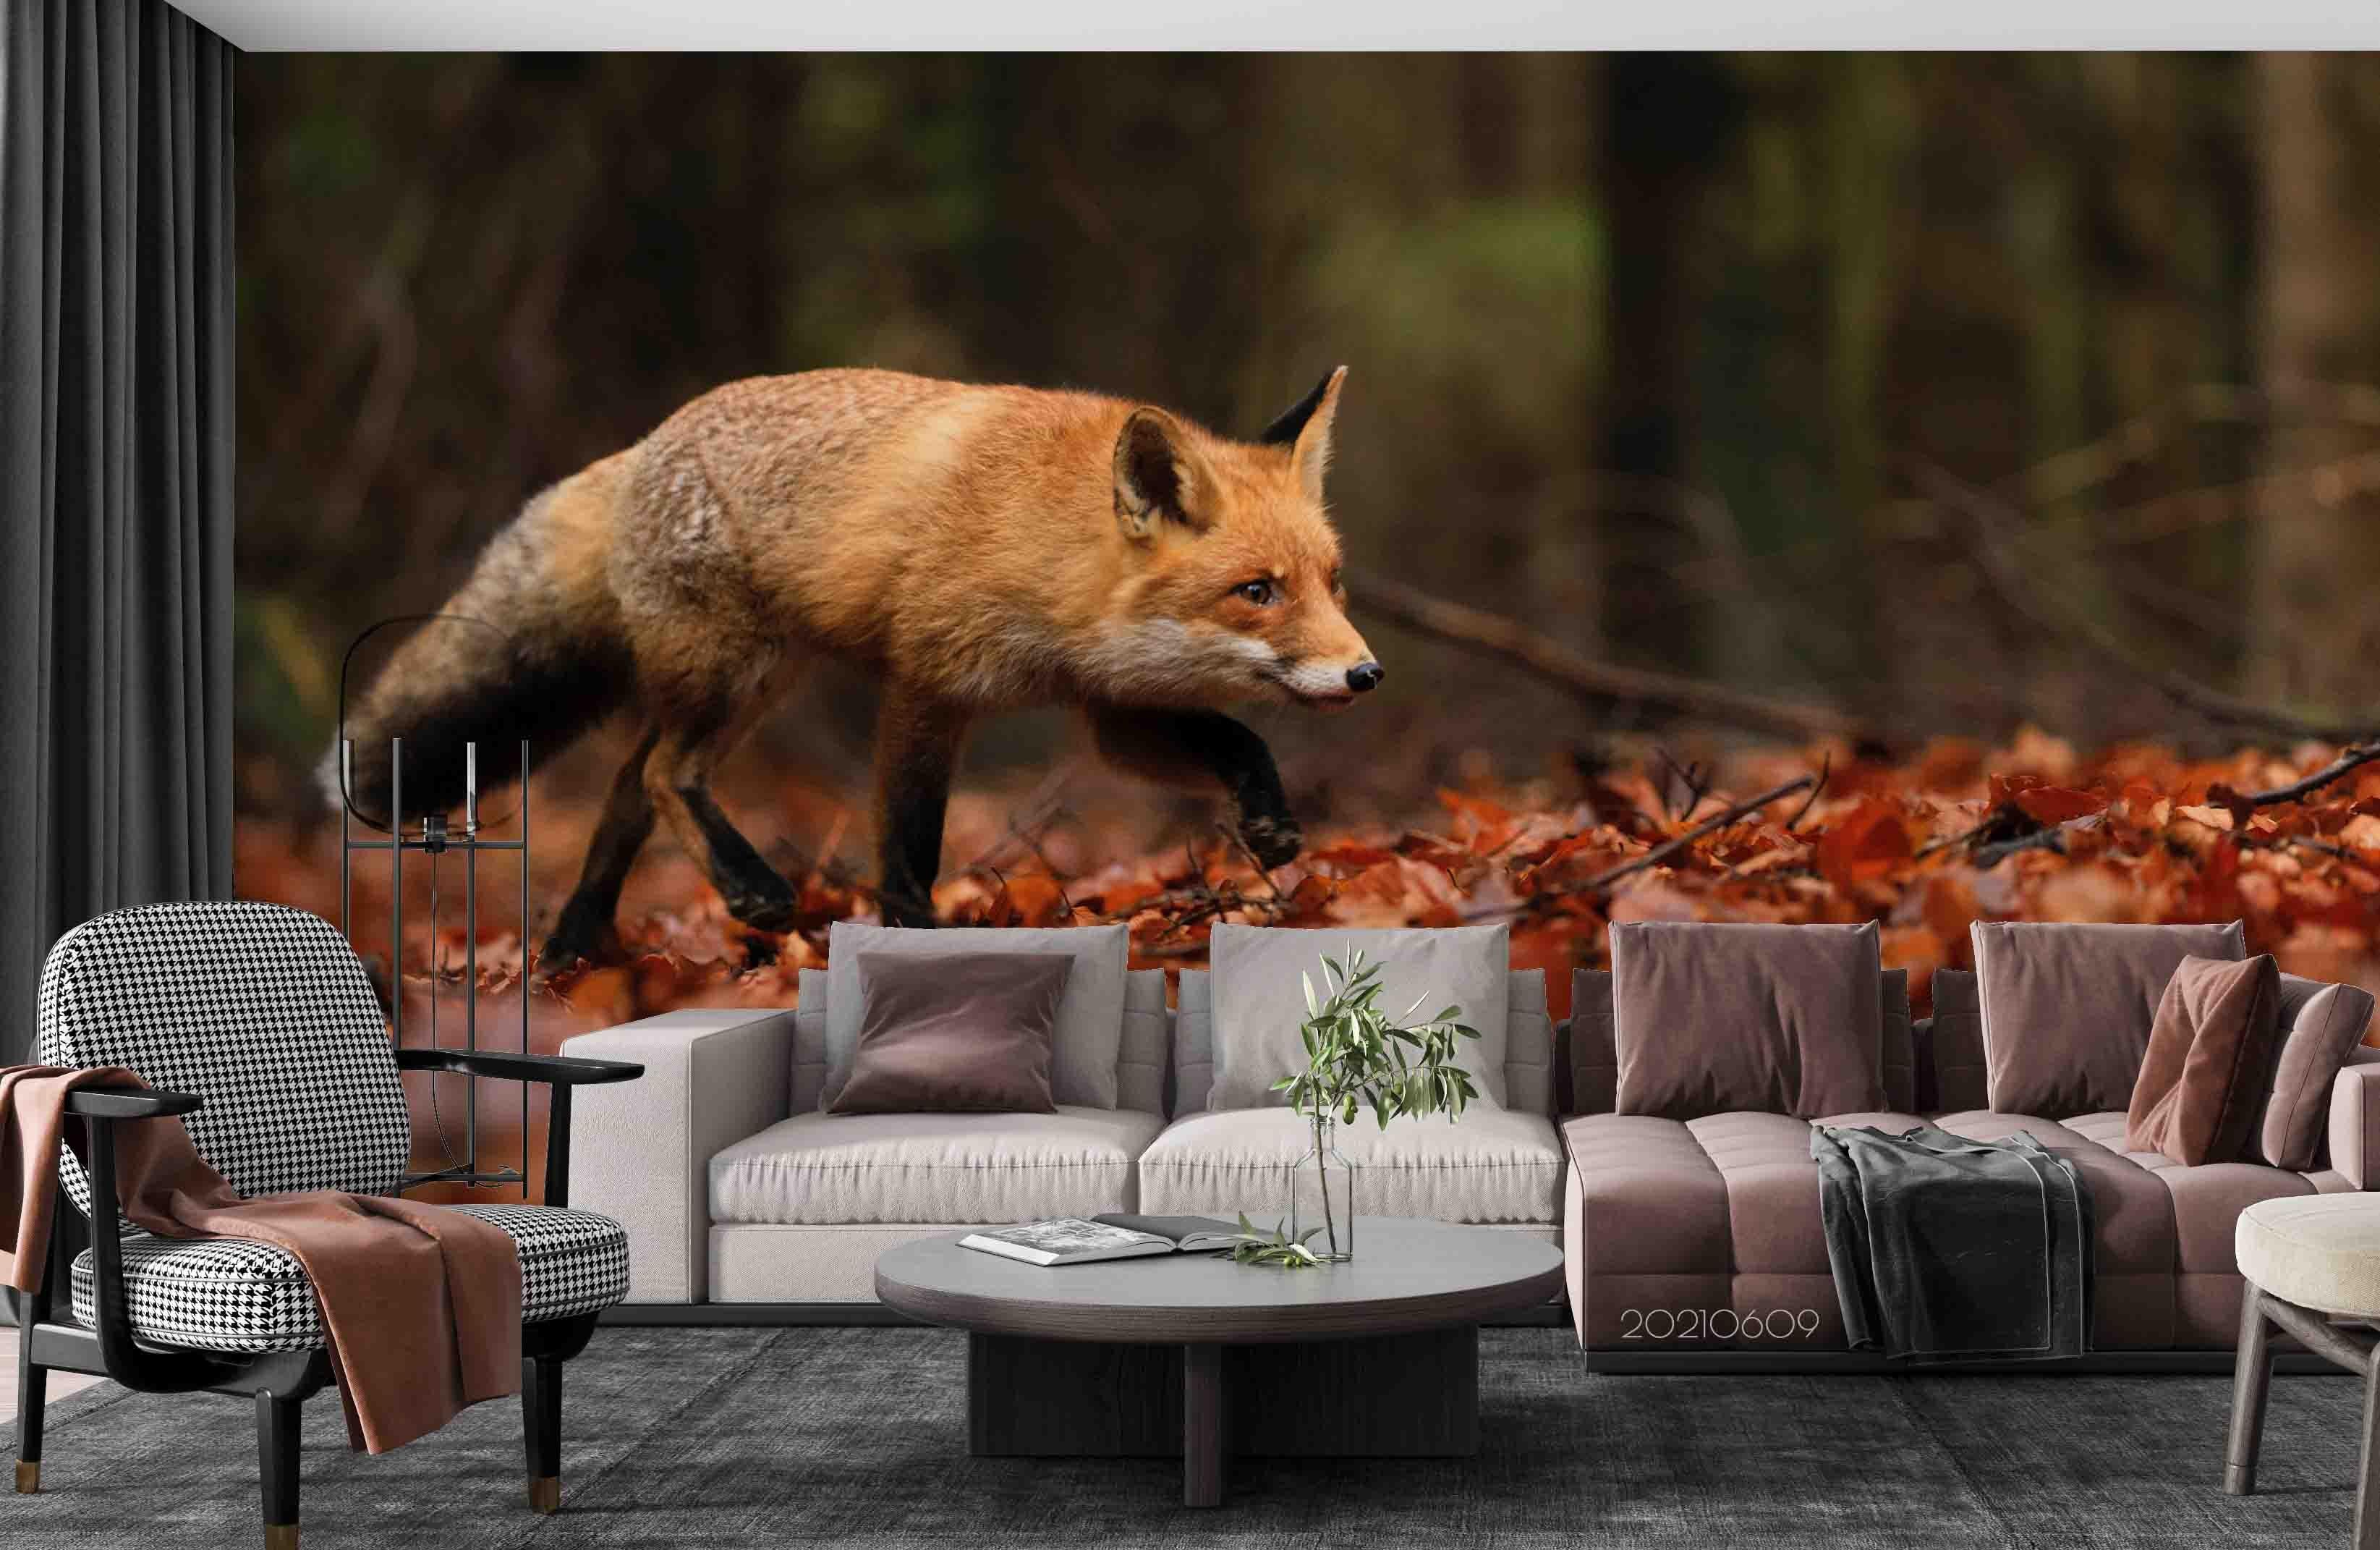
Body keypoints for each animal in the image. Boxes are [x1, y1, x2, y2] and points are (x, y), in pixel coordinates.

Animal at [332, 366, 1383, 970]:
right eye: (1257, 590)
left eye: (1331, 582)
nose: (1365, 674)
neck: (1048, 548)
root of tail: (636, 450)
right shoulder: (928, 684)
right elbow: (909, 846)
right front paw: (913, 945)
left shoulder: (1109, 706)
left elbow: (1238, 738)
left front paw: (1268, 819)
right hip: (735, 675)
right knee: (665, 776)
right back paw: (746, 890)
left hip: (750, 683)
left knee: (628, 788)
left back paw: (572, 951)